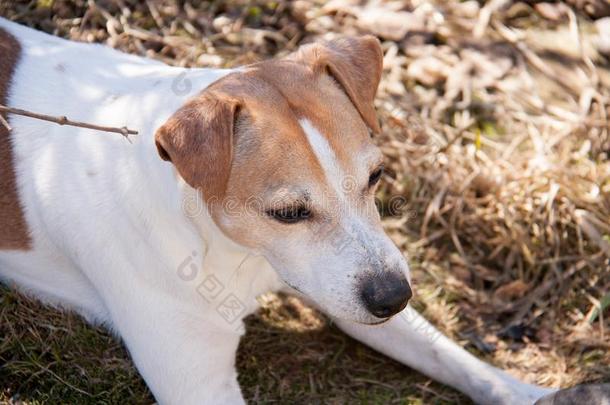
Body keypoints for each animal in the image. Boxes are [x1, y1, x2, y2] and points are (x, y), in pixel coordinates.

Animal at [0, 17, 552, 402]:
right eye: (287, 213)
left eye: (375, 177)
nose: (395, 297)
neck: (231, 250)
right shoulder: (199, 386)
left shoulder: (345, 287)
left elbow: (452, 357)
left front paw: (532, 393)